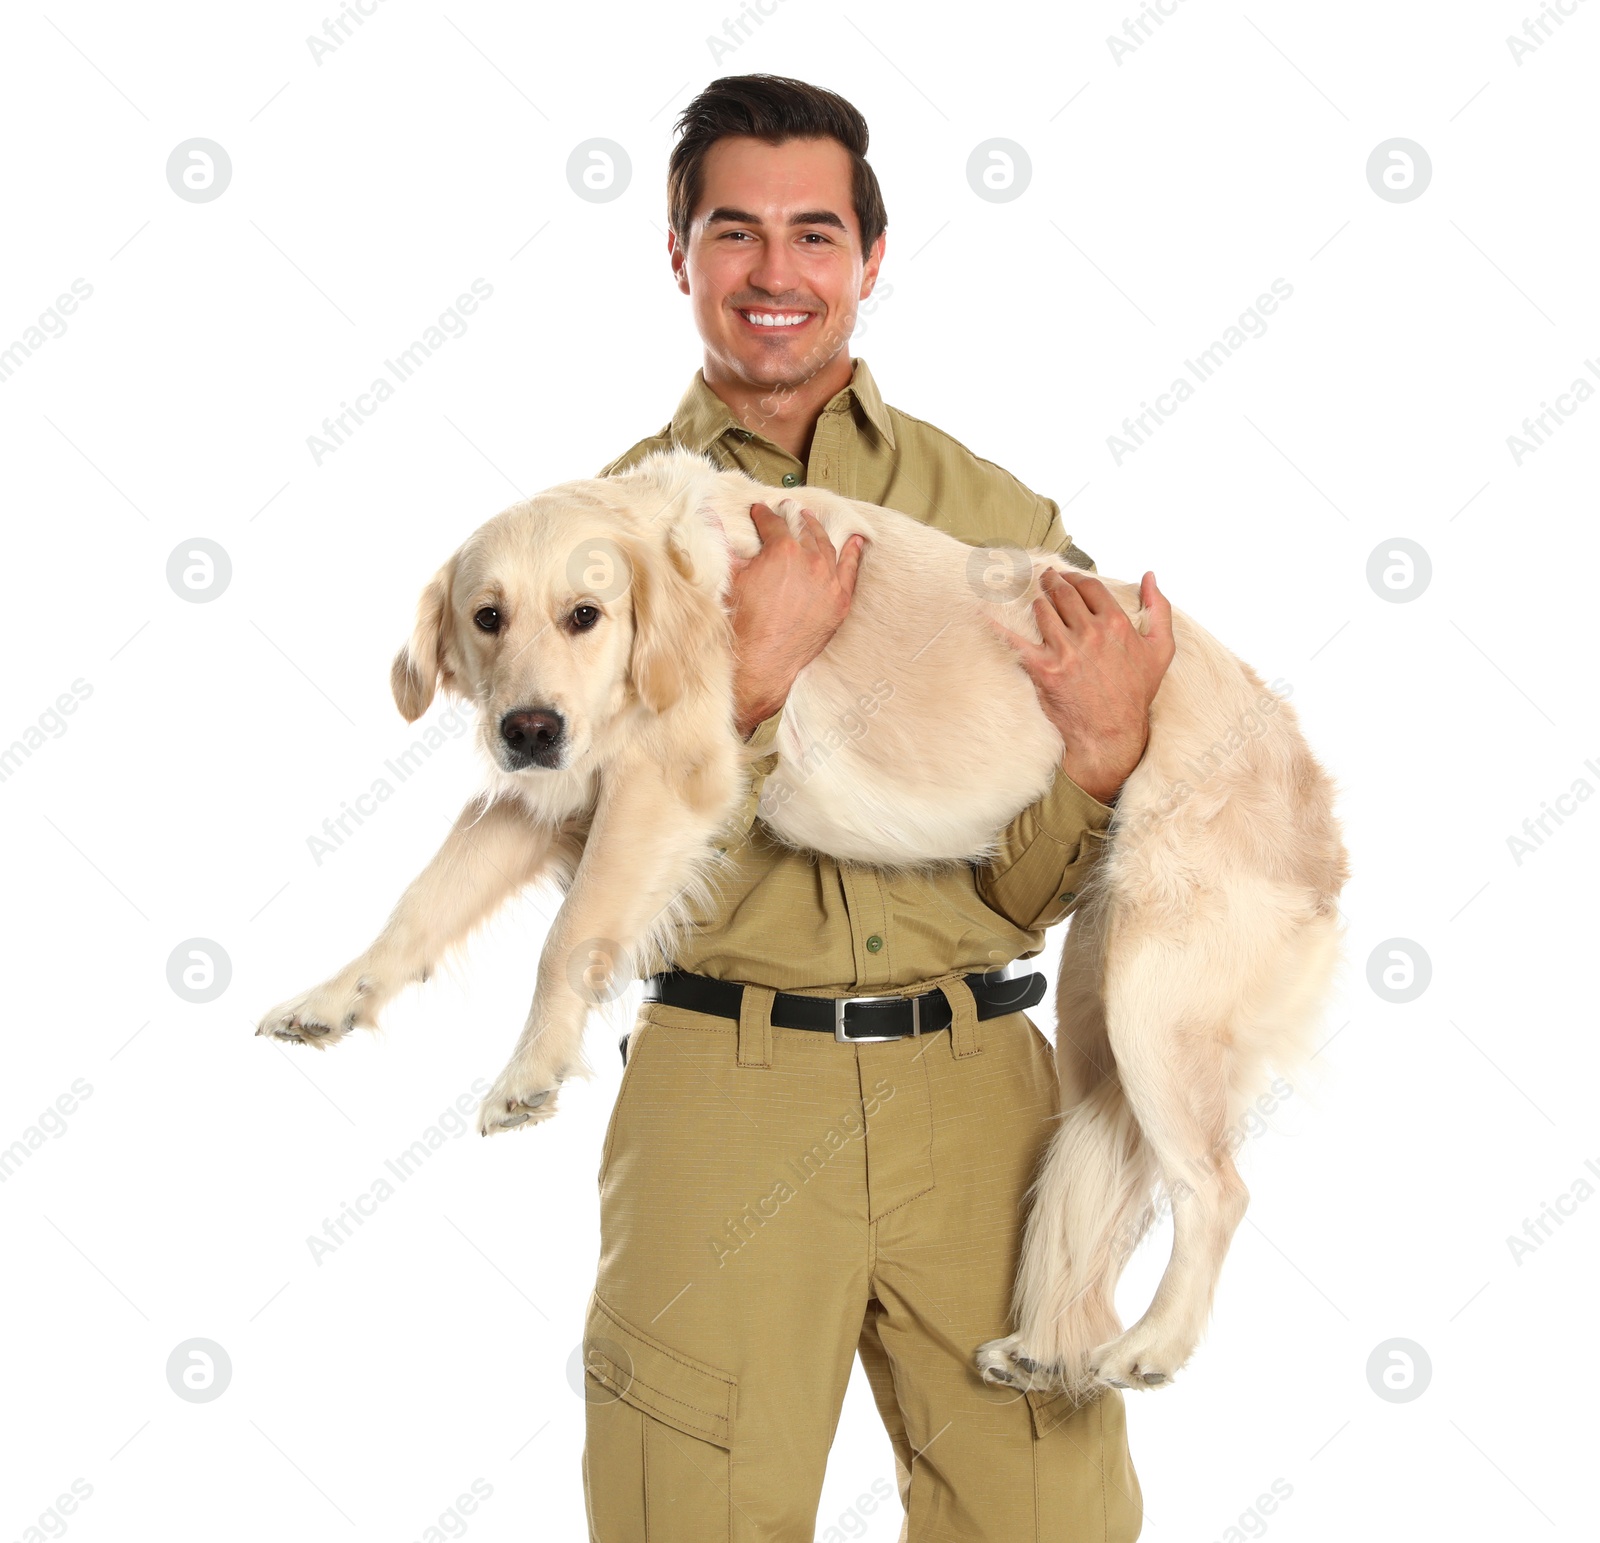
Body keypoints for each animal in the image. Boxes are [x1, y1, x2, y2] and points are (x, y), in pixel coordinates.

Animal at [256, 441, 1344, 1395]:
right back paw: (1045, 1350)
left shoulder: (665, 783)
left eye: (584, 615)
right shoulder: (552, 801)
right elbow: (416, 906)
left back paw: (1153, 1345)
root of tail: (1294, 749)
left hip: (1153, 1000)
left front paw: (527, 1072)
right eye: (487, 616)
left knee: (1216, 1189)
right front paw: (329, 1000)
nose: (528, 730)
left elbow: (567, 942)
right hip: (1102, 1012)